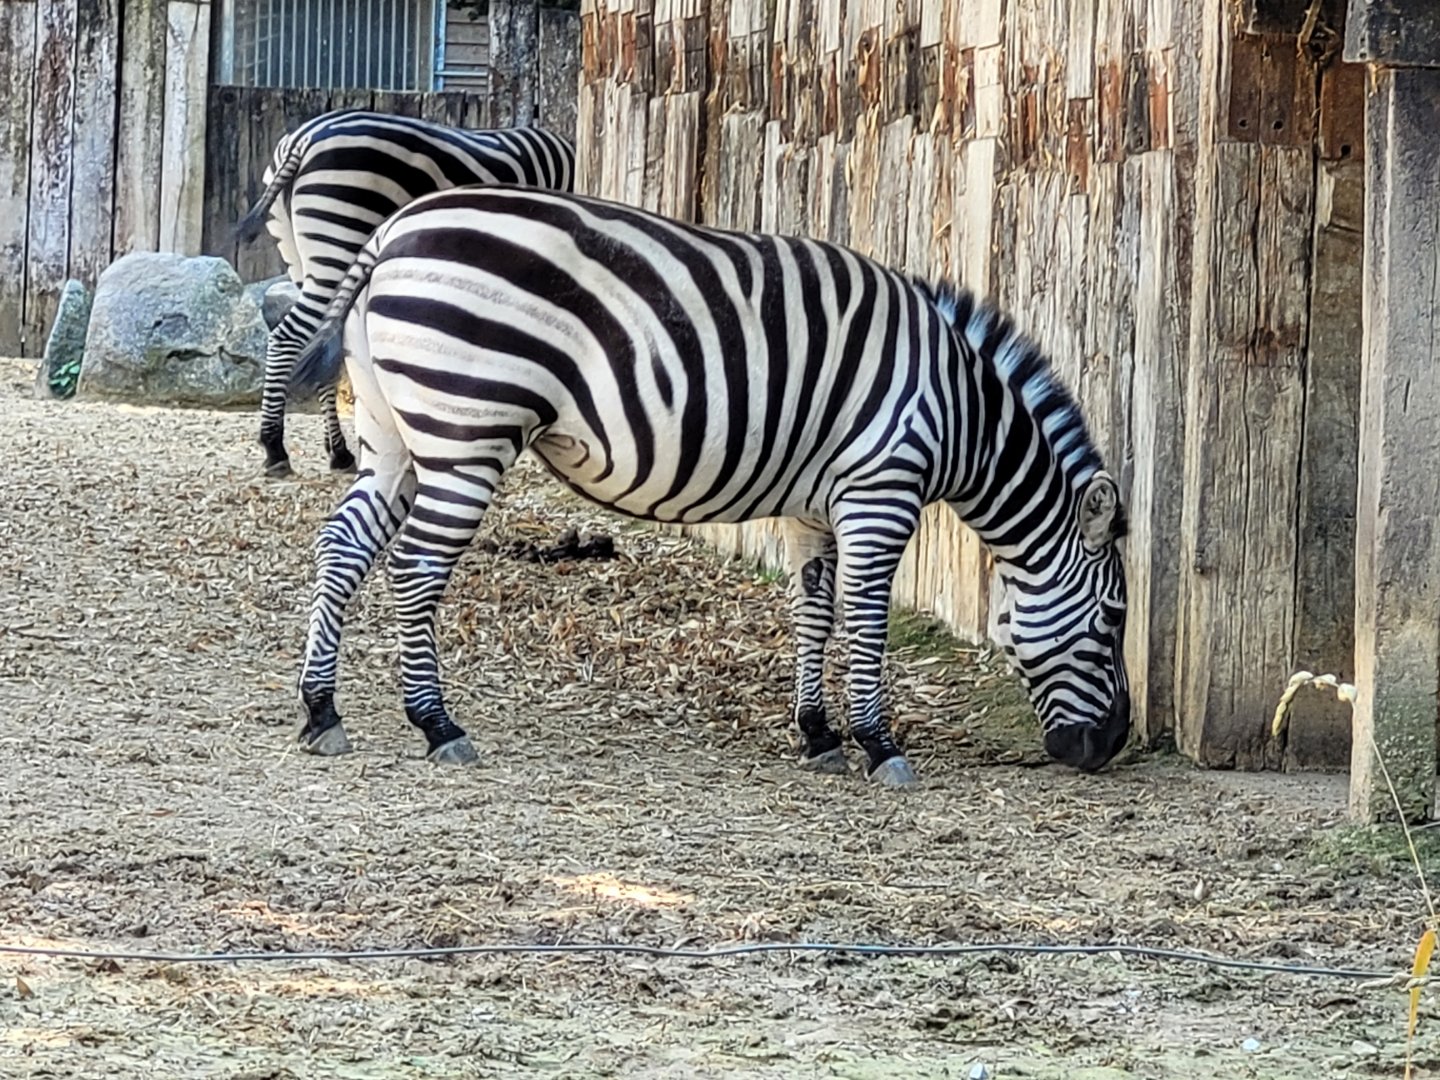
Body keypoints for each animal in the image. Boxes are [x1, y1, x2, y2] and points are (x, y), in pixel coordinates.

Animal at [229, 108, 576, 478]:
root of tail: (301, 138)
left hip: (300, 257)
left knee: (317, 341)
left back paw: (339, 452)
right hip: (338, 240)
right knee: (291, 337)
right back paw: (274, 446)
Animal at [284, 186, 1132, 787]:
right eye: (1112, 619)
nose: (1114, 744)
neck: (963, 411)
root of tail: (392, 233)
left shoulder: (816, 508)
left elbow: (814, 612)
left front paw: (818, 734)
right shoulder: (880, 491)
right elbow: (864, 619)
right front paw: (879, 743)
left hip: (395, 435)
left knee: (343, 545)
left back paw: (321, 711)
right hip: (467, 429)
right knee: (416, 568)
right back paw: (437, 724)